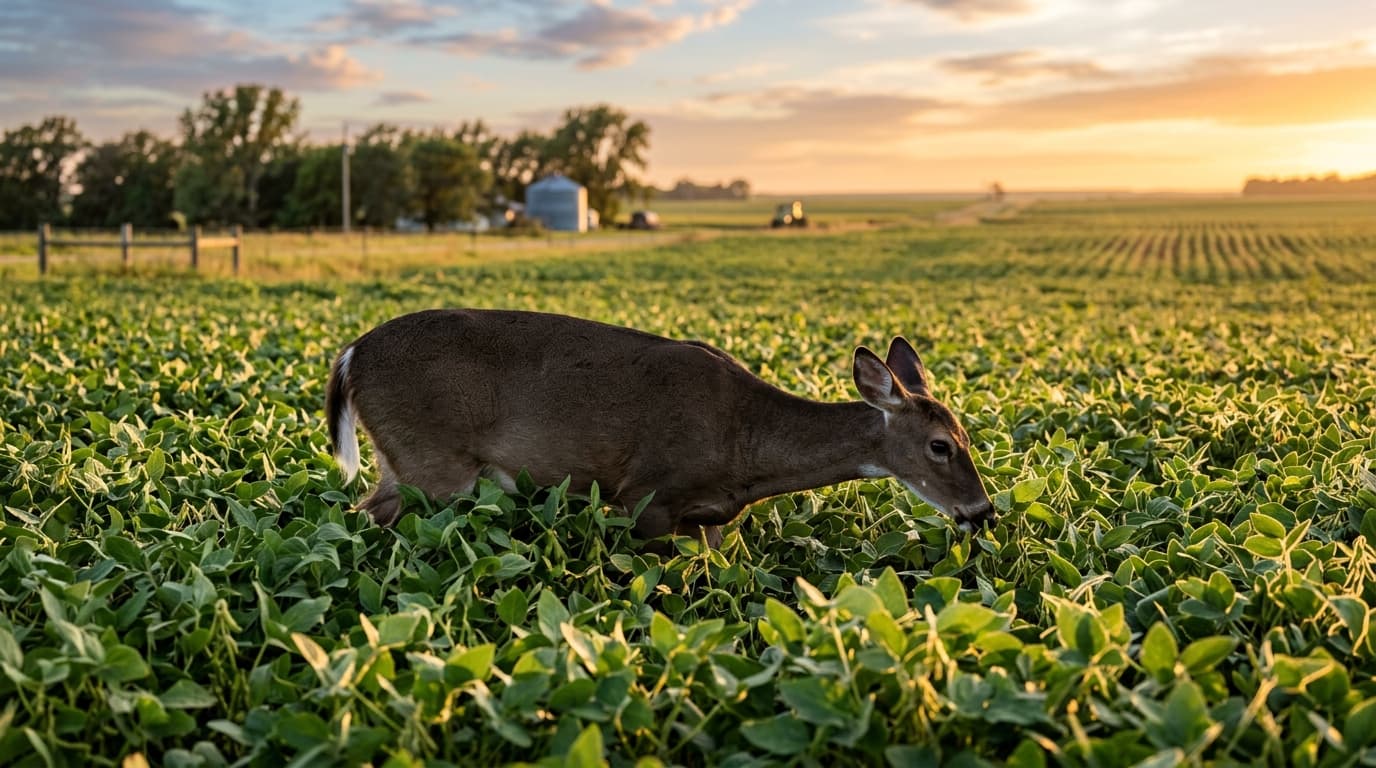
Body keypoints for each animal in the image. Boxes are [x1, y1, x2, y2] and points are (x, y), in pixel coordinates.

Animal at [326, 309, 995, 551]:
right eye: (939, 446)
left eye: (969, 438)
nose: (983, 512)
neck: (745, 445)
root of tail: (351, 355)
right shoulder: (644, 495)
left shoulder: (708, 517)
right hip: (434, 464)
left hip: (406, 464)